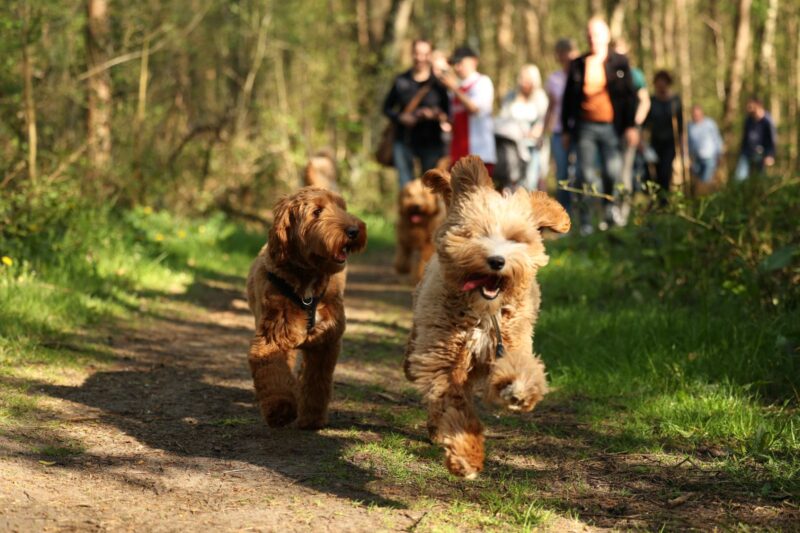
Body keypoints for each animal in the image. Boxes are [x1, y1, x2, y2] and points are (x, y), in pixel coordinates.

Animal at [245, 187, 368, 428]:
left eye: (341, 207)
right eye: (316, 212)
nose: (353, 231)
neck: (307, 286)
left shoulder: (326, 343)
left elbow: (316, 383)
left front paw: (312, 418)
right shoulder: (272, 339)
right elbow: (274, 374)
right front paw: (281, 409)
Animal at [406, 154, 568, 478]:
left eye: (515, 238)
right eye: (476, 234)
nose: (496, 261)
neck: (483, 313)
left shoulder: (511, 342)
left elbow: (520, 368)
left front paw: (519, 390)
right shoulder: (444, 360)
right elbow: (455, 407)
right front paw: (466, 456)